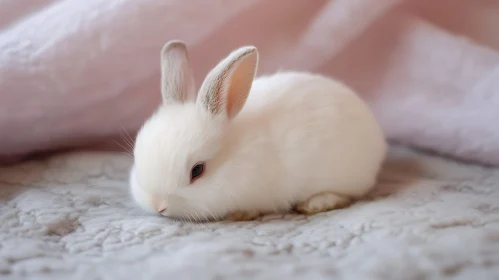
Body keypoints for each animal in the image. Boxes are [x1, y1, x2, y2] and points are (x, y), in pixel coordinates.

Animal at [129, 40, 386, 222]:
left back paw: (314, 203)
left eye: (197, 170)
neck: (235, 155)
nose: (158, 205)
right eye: (136, 159)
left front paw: (241, 214)